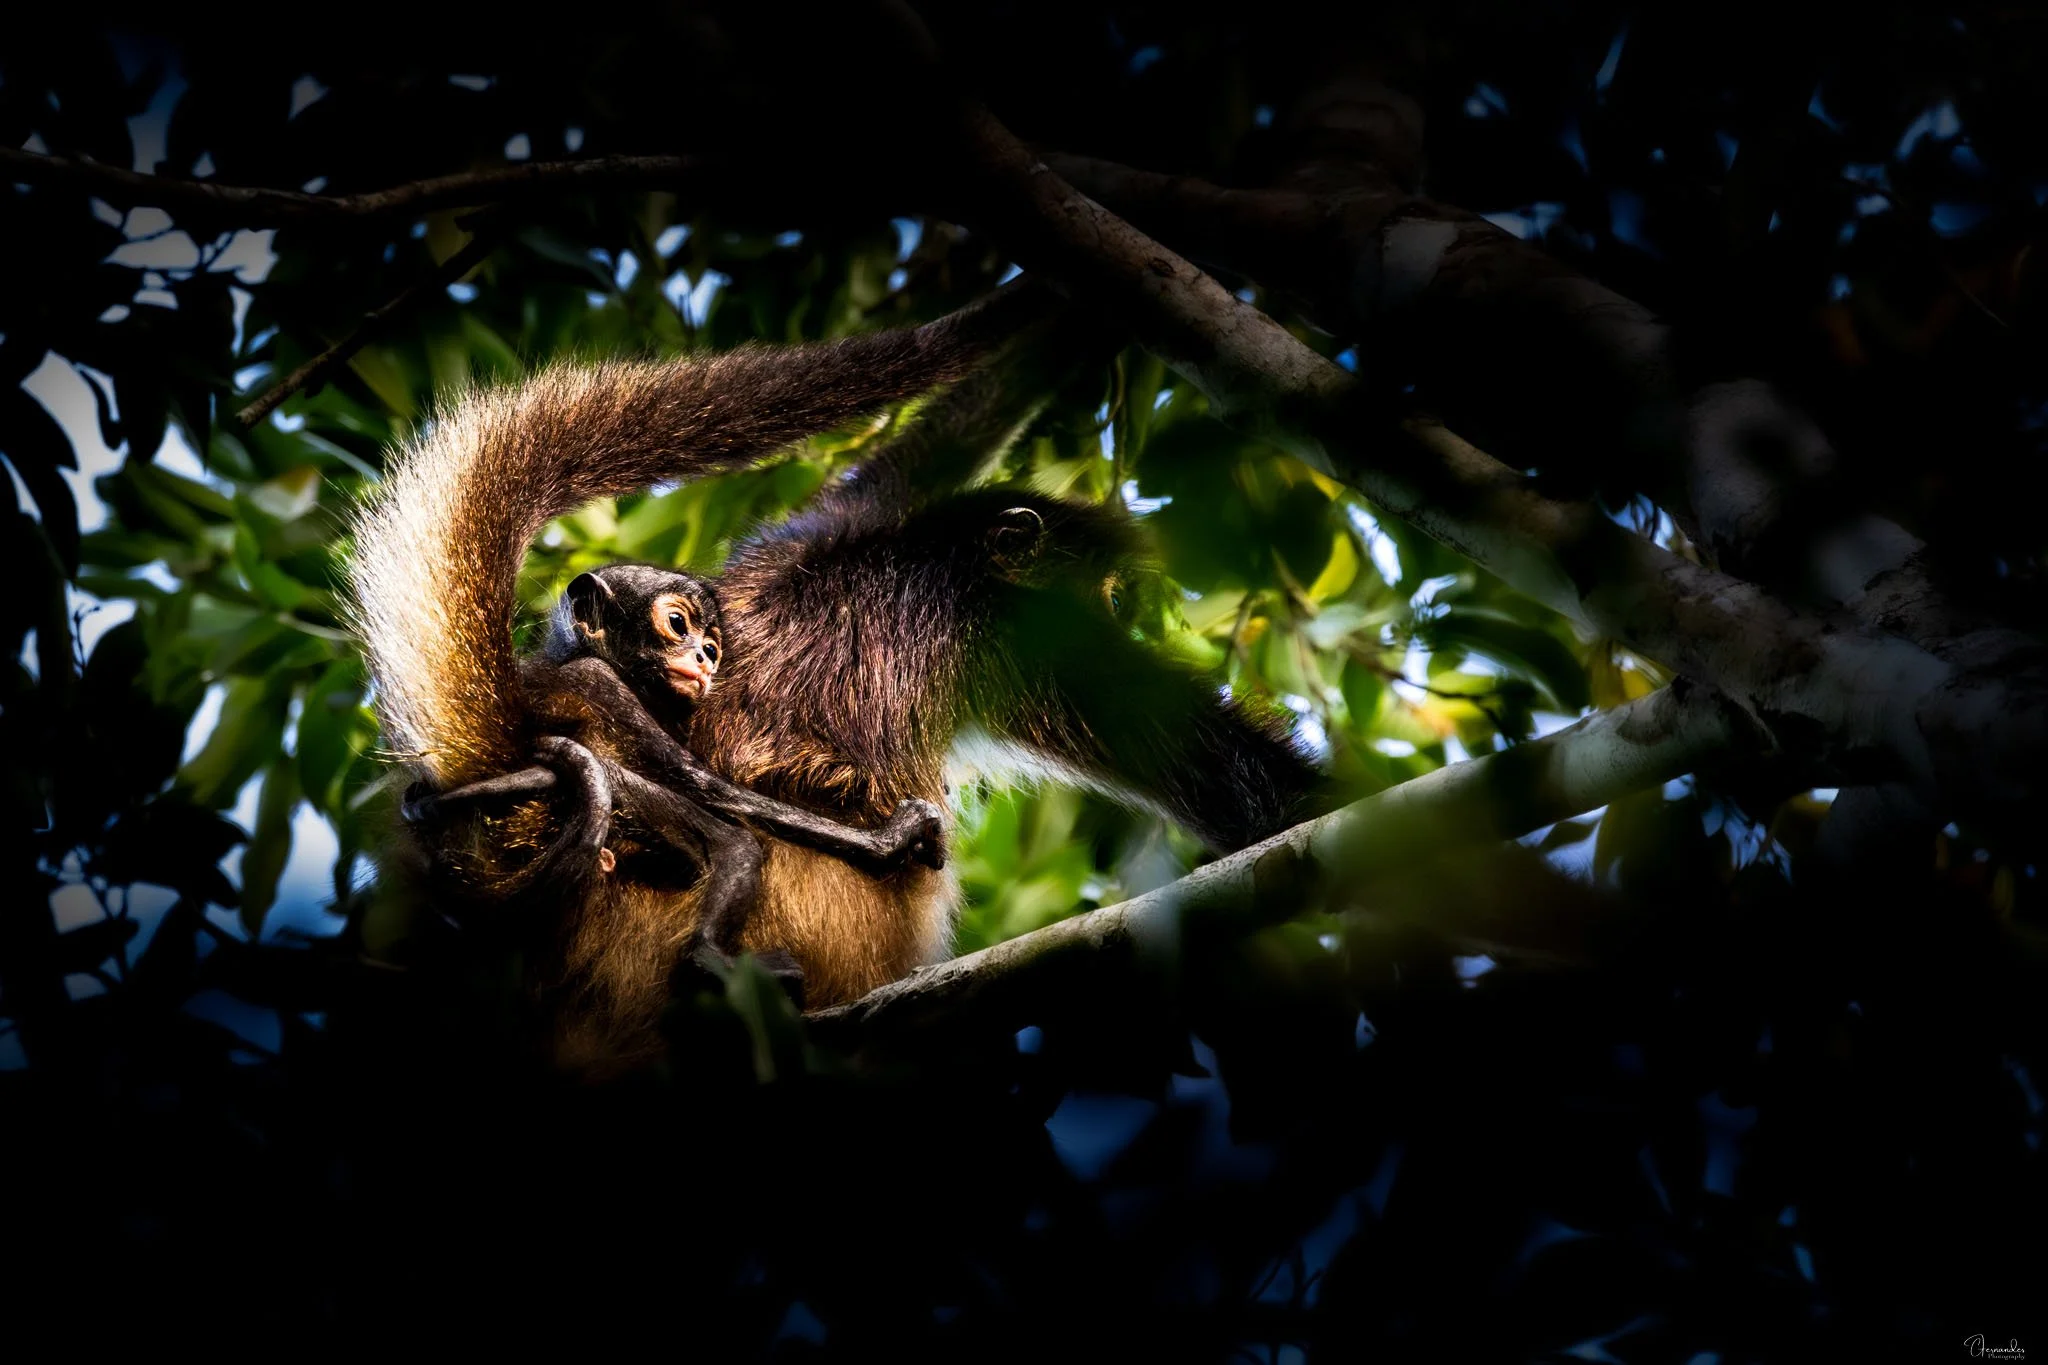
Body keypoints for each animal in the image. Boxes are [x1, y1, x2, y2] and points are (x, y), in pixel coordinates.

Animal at [348, 279, 1323, 1065]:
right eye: (1101, 606)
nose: (1117, 621)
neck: (922, 559)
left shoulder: (822, 533)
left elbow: (922, 449)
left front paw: (1065, 307)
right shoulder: (1002, 631)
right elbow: (1251, 786)